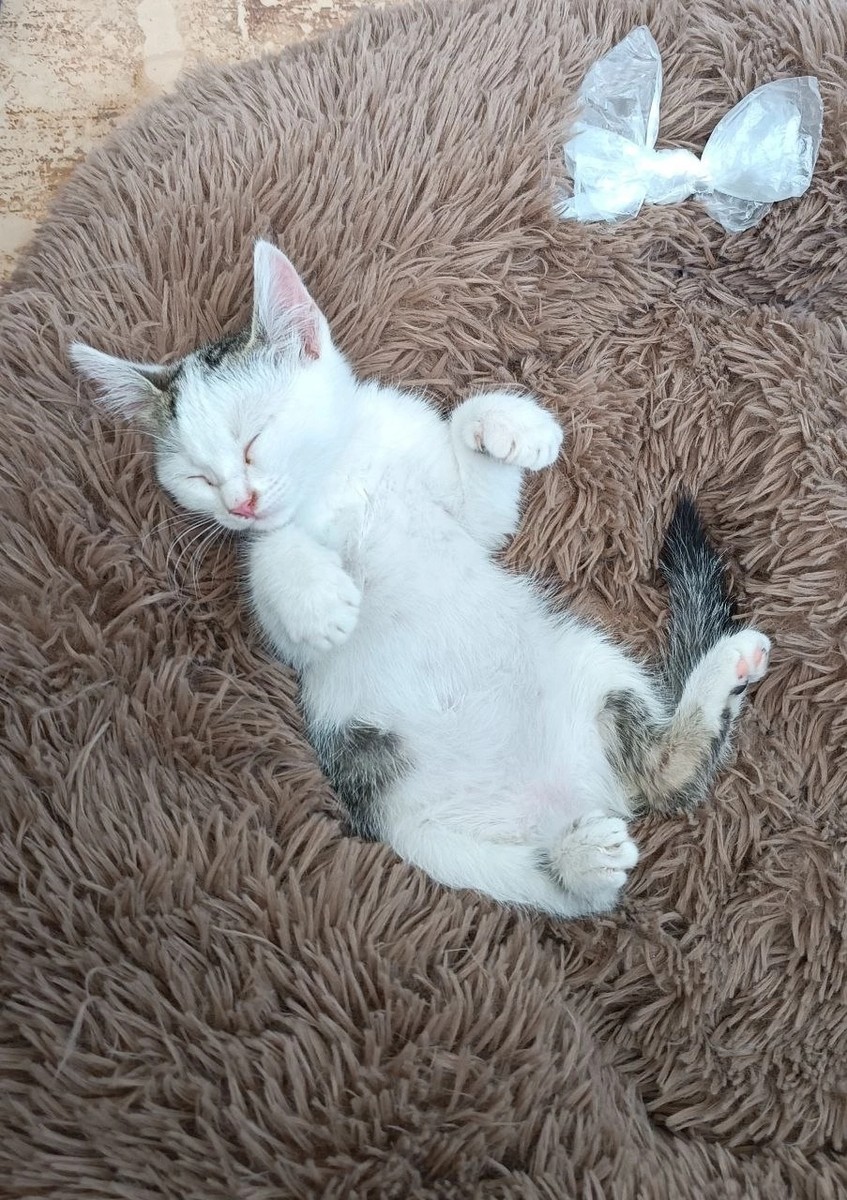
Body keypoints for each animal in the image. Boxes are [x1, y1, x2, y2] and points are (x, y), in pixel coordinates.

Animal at [71, 240, 770, 918]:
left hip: (590, 665)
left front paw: (508, 425)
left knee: (663, 776)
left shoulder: (458, 505)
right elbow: (275, 559)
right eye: (198, 477)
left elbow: (480, 491)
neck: (338, 479)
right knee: (575, 890)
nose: (238, 503)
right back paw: (584, 860)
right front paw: (318, 598)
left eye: (253, 439)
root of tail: (568, 802)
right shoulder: (285, 621)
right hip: (423, 840)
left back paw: (720, 674)